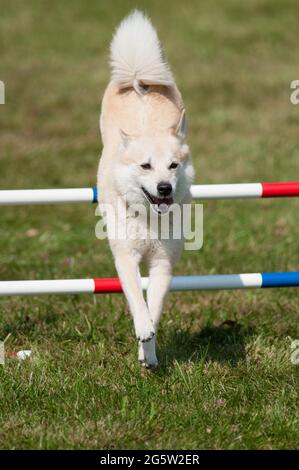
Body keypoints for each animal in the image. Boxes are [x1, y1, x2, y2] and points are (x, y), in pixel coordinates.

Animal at [98, 10, 195, 368]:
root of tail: (139, 81)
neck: (150, 220)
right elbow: (137, 300)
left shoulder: (163, 262)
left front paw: (149, 352)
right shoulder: (125, 257)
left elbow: (155, 303)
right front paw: (142, 328)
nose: (164, 188)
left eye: (173, 166)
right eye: (145, 166)